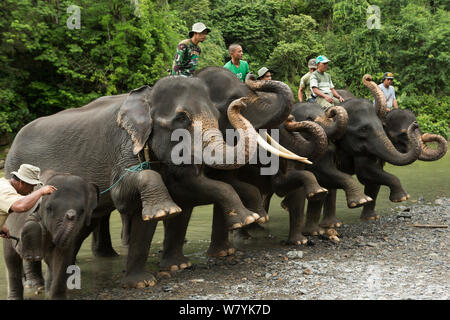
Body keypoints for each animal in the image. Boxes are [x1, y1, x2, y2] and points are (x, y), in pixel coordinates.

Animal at [3, 172, 98, 300]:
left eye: (82, 211)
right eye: (49, 208)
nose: (71, 214)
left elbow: (62, 258)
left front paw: (55, 297)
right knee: (11, 260)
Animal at [6, 75, 296, 288]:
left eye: (217, 114)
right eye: (182, 118)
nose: (242, 102)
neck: (146, 97)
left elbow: (159, 211)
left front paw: (153, 277)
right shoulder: (123, 145)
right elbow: (126, 195)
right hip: (16, 179)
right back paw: (36, 285)